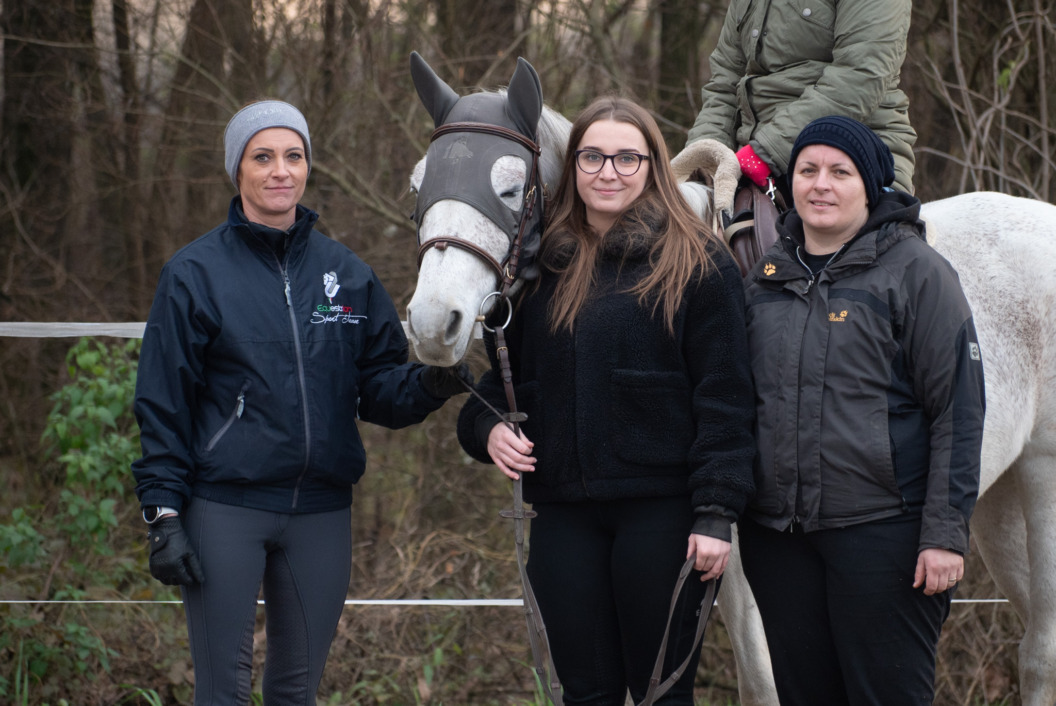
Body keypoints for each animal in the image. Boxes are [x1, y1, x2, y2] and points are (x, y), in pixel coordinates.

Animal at [403, 52, 1056, 700]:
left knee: (1041, 654)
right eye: (418, 188)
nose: (433, 322)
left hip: (1042, 483)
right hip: (995, 502)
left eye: (511, 188)